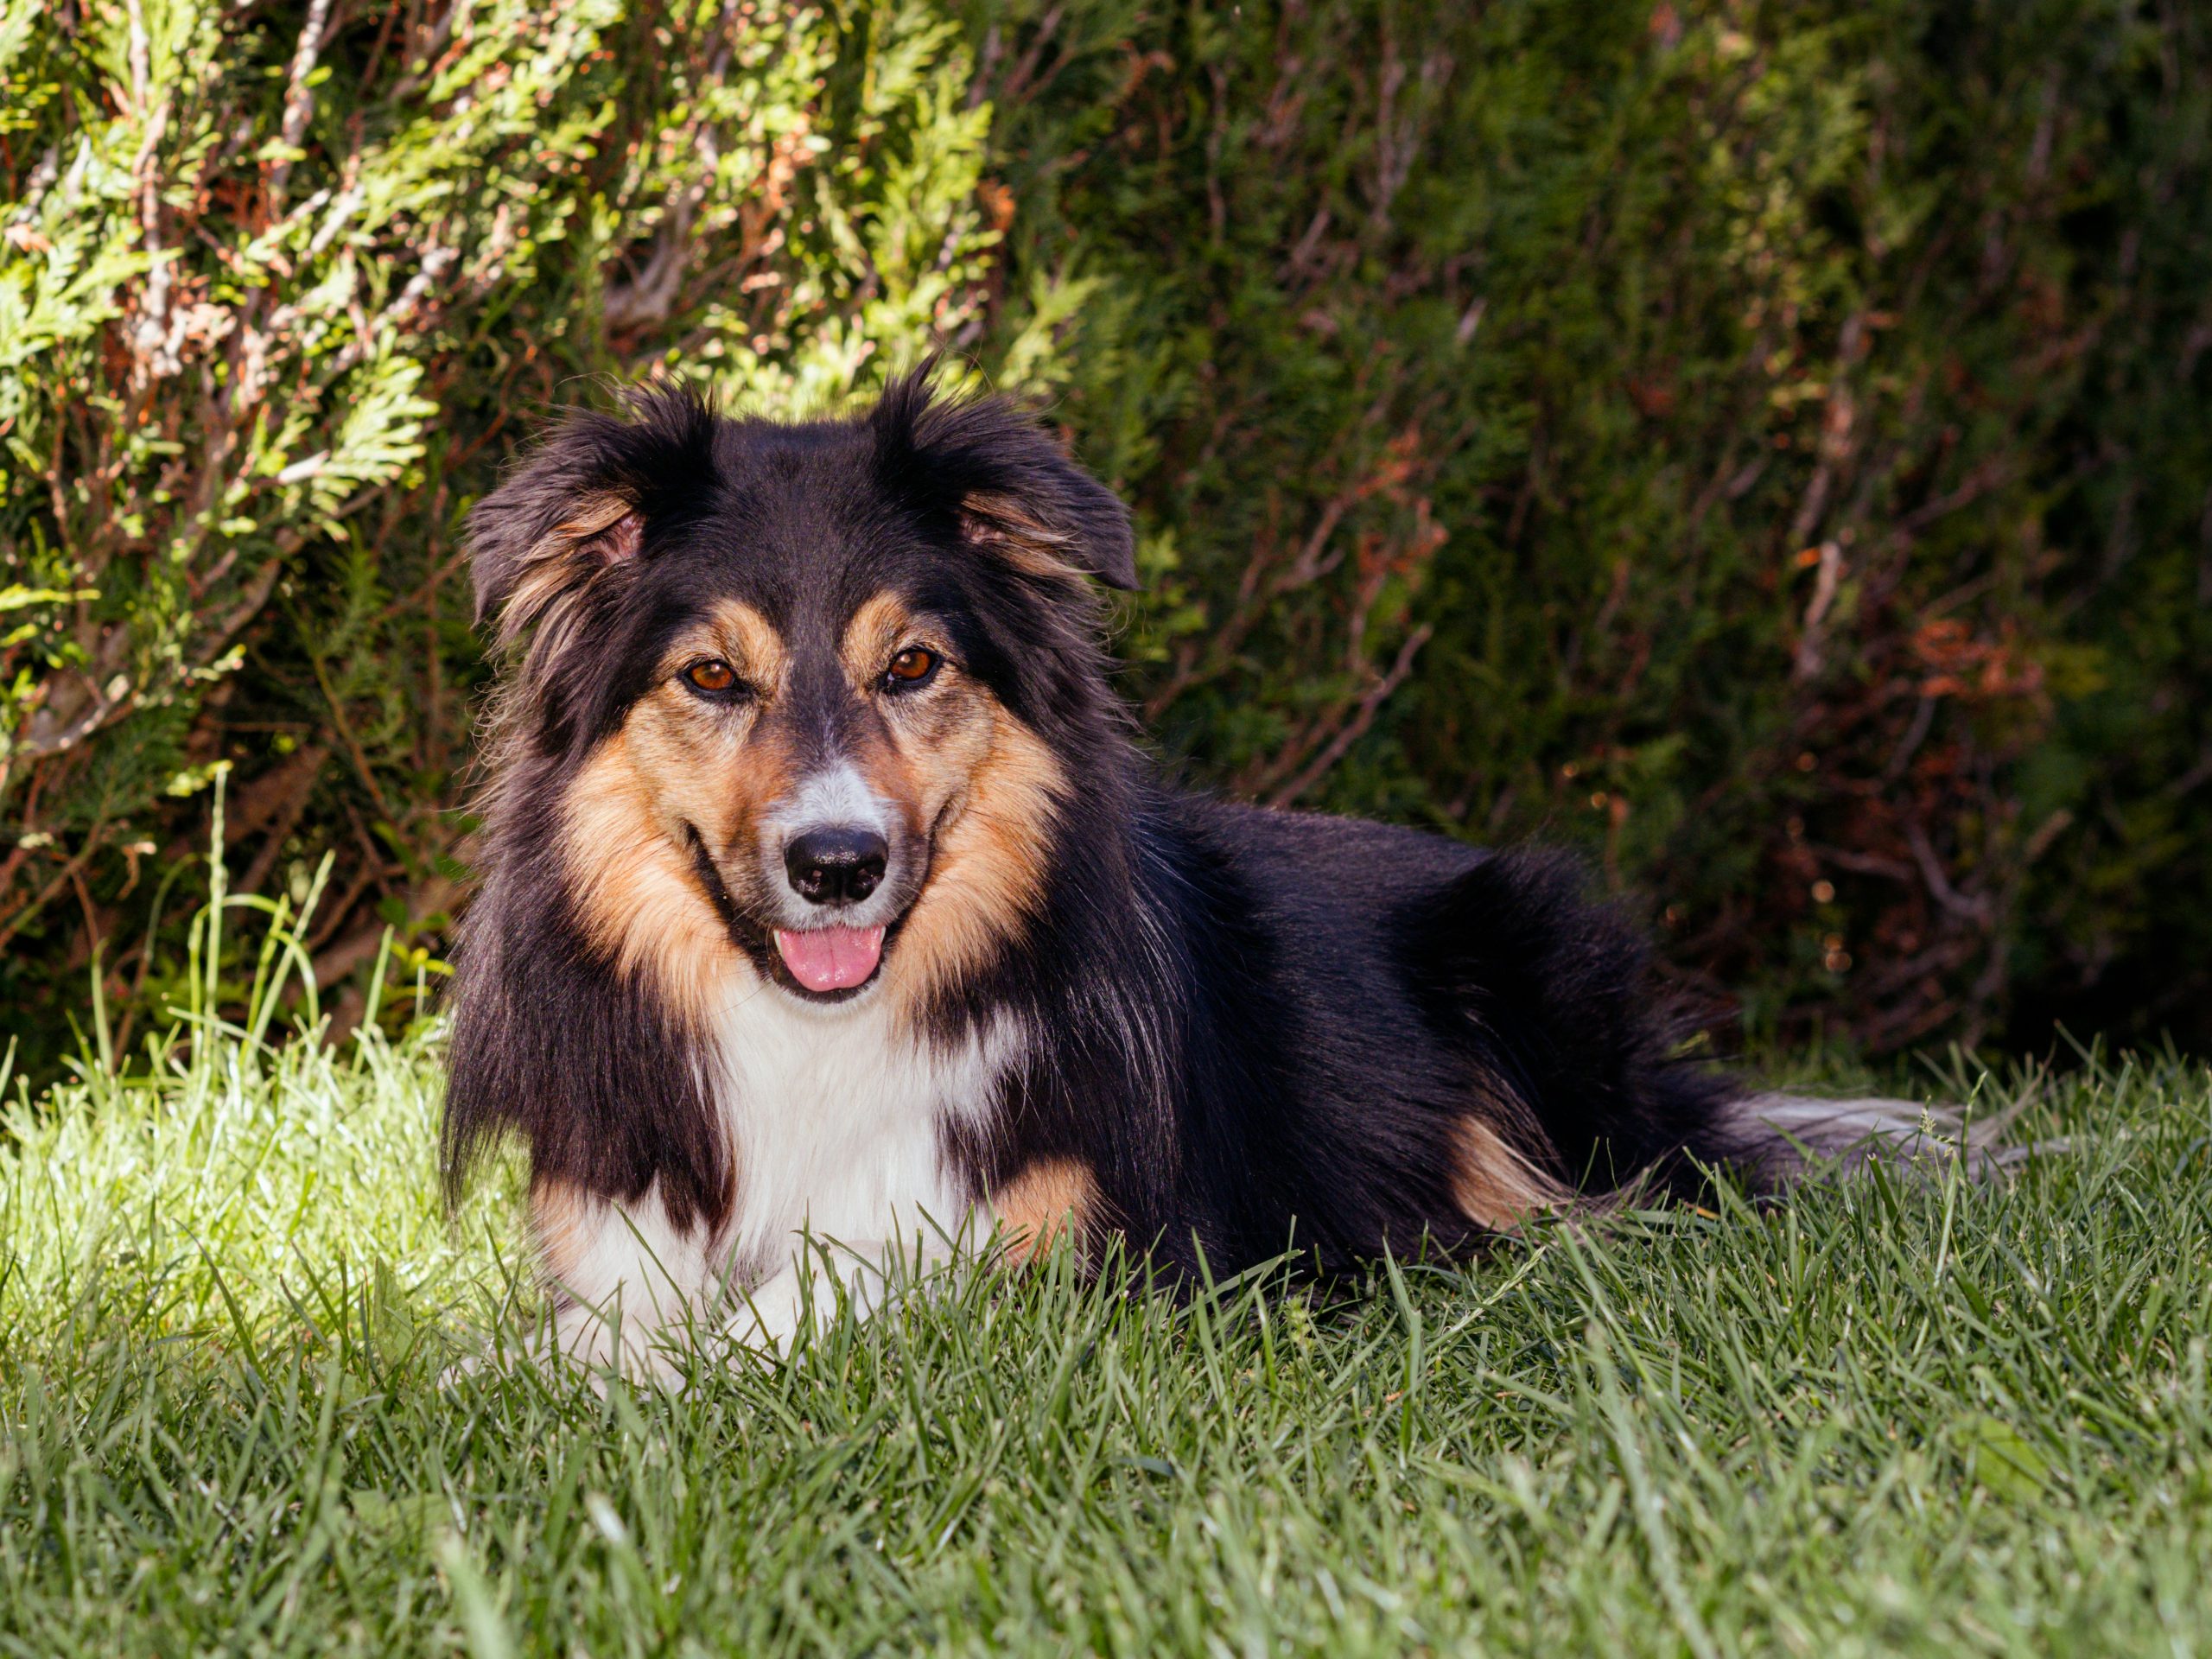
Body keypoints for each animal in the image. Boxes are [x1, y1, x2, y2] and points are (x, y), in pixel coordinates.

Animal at [448, 369, 1955, 1380]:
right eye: (711, 677)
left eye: (913, 665)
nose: (837, 865)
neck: (817, 1026)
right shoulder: (619, 1235)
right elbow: (589, 1340)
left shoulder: (1083, 1247)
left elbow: (807, 1304)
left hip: (1530, 976)